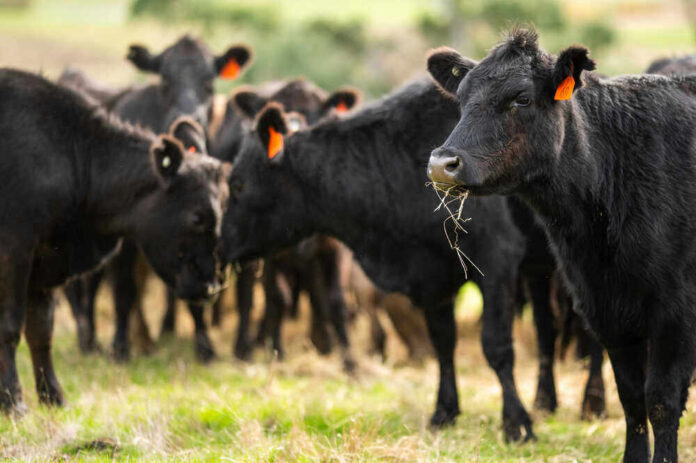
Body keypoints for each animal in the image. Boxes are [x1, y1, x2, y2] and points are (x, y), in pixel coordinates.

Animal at [0, 69, 229, 414]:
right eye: (196, 217)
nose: (211, 287)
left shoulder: (45, 264)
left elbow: (41, 330)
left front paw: (53, 396)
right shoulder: (15, 252)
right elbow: (11, 327)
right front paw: (13, 402)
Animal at [427, 28, 696, 462]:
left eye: (520, 98)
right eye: (462, 99)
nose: (441, 164)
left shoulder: (676, 312)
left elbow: (661, 401)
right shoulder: (605, 308)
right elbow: (632, 398)